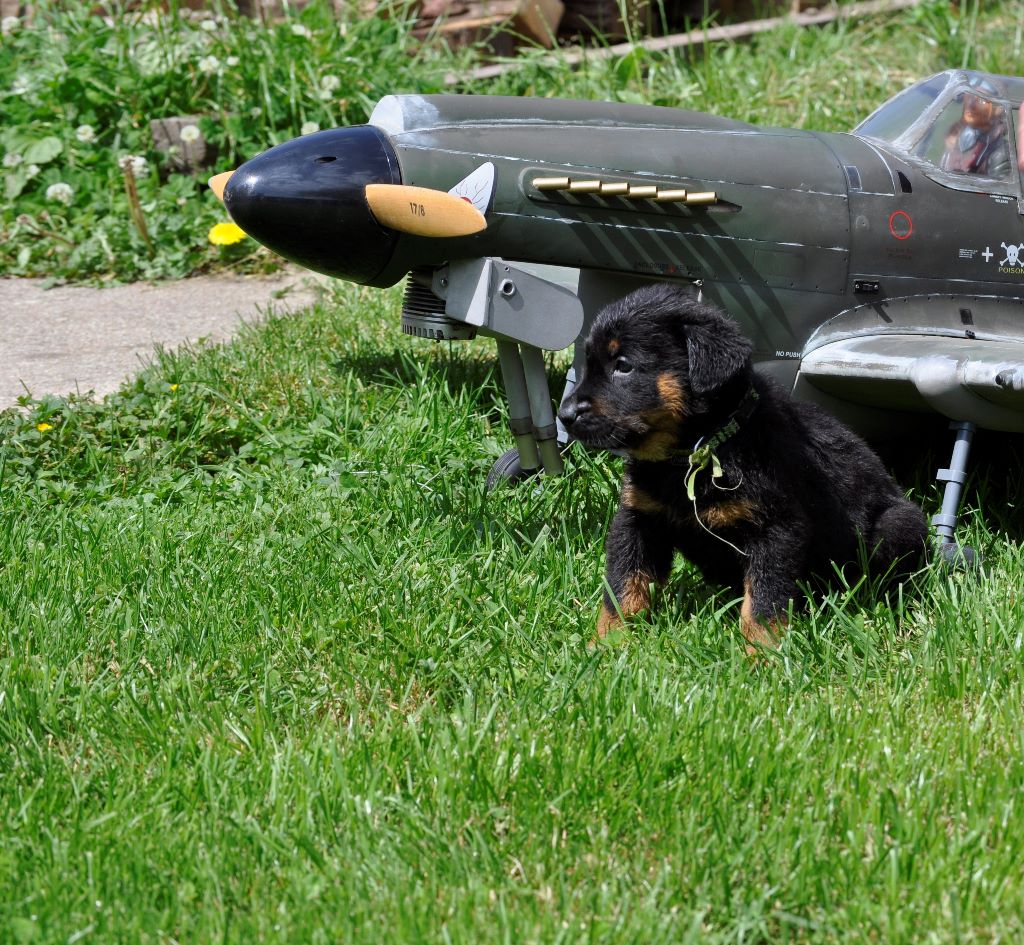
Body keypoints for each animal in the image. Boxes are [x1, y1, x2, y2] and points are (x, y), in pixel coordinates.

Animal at [561, 284, 929, 647]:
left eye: (623, 365)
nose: (565, 415)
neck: (695, 455)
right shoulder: (639, 519)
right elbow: (625, 582)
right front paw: (608, 641)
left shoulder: (776, 528)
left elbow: (765, 598)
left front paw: (763, 650)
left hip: (898, 524)